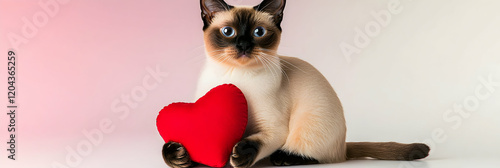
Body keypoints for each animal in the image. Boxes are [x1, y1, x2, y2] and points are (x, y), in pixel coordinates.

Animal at [161, 0, 430, 167]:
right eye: (228, 32)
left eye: (258, 33)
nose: (243, 46)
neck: (235, 77)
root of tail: (343, 145)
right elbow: (174, 147)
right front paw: (179, 156)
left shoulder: (273, 128)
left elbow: (258, 142)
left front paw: (239, 155)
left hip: (308, 123)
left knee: (315, 155)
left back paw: (284, 158)